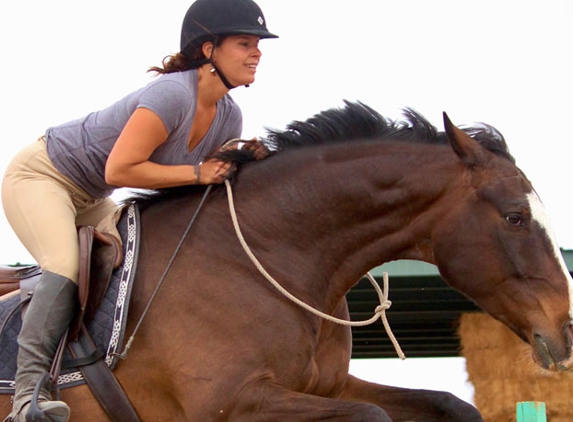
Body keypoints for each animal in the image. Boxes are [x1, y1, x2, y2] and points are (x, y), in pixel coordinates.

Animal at [1, 102, 572, 422]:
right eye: (516, 217)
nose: (565, 333)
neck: (273, 257)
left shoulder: (330, 387)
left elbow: (453, 405)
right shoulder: (232, 403)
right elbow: (371, 416)